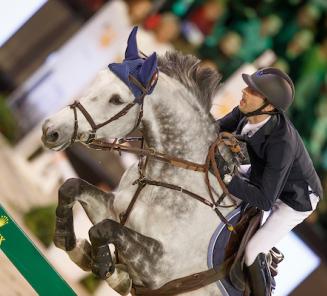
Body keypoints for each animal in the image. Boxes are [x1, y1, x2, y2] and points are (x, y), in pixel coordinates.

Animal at [41, 26, 242, 294]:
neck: (162, 179)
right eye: (97, 78)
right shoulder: (112, 207)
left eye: (116, 99)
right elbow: (72, 187)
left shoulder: (159, 268)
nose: (50, 130)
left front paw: (109, 270)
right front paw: (68, 242)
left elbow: (103, 229)